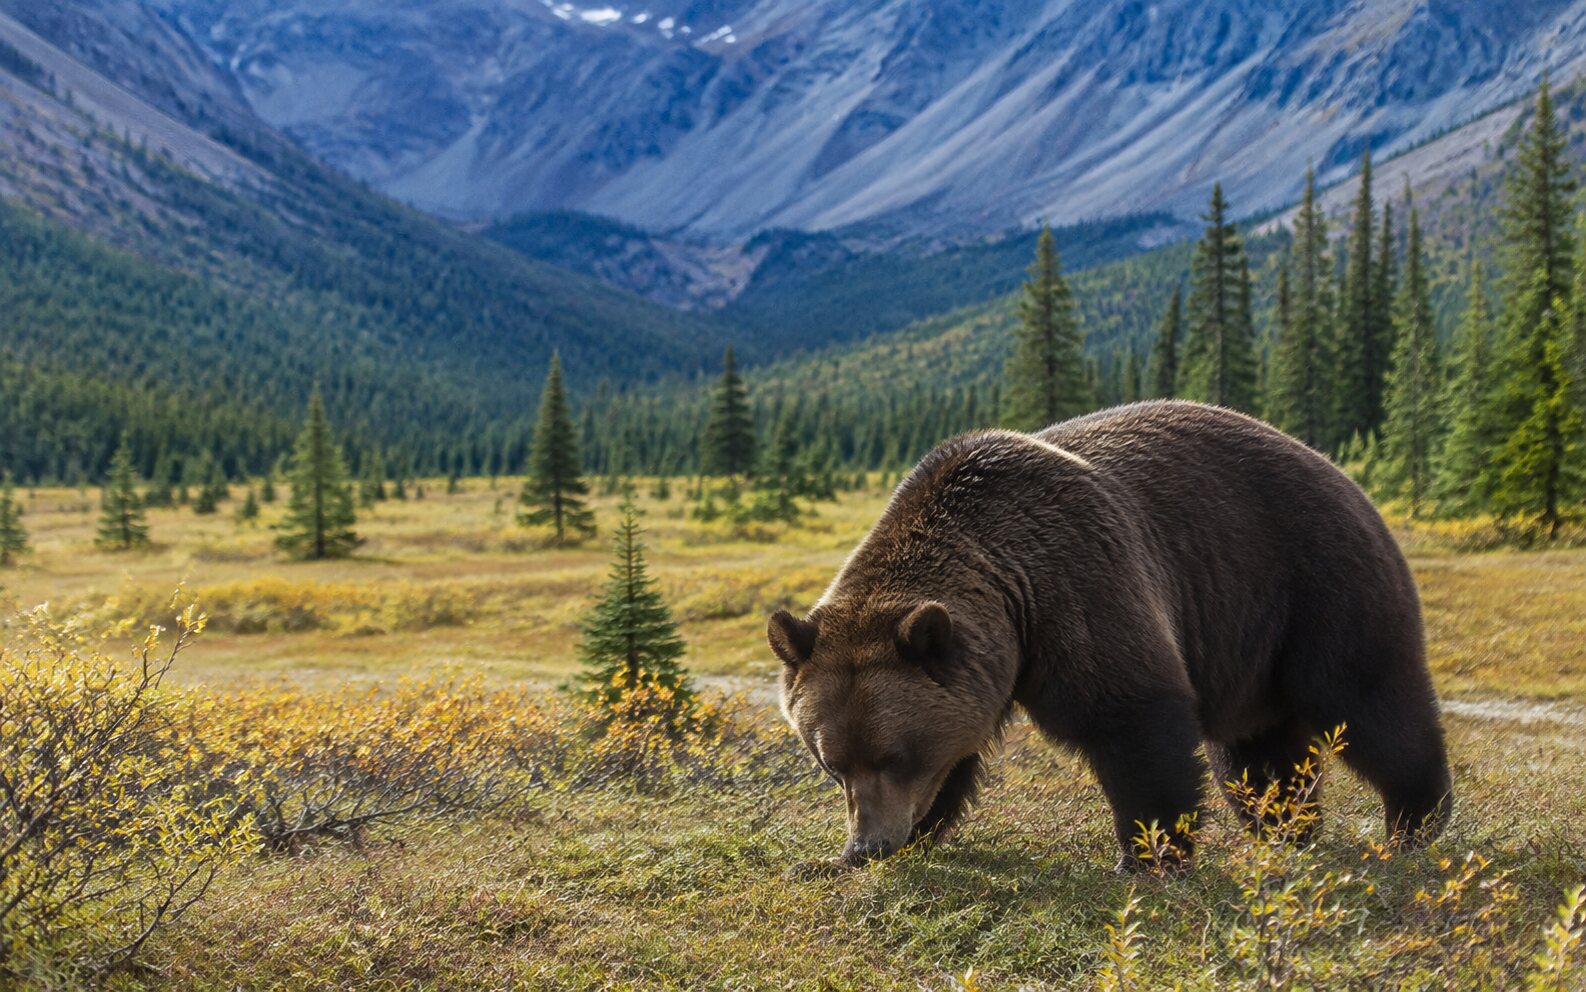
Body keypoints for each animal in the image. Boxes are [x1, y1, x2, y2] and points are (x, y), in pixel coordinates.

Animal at [768, 400, 1452, 870]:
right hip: (1251, 646)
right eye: (830, 763)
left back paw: (1414, 820)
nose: (869, 846)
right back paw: (1285, 826)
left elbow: (1131, 714)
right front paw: (884, 843)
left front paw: (1148, 854)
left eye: (894, 754)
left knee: (1368, 700)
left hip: (1315, 582)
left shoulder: (1076, 579)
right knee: (1258, 748)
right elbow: (955, 760)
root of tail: (1341, 472)